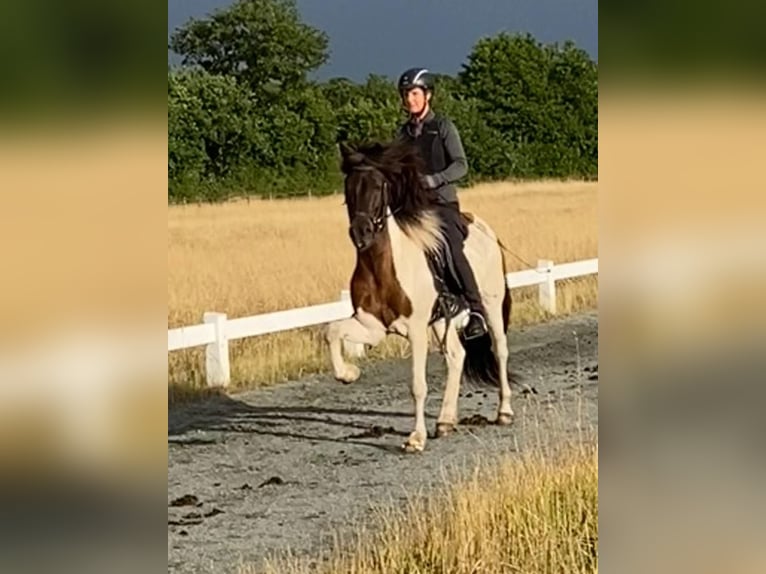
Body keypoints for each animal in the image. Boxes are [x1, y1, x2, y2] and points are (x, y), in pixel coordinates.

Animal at [324, 139, 514, 453]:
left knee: (499, 350)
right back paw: (446, 421)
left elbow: (417, 385)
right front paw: (349, 374)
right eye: (348, 186)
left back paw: (504, 412)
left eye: (379, 186)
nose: (361, 233)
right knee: (456, 356)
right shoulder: (372, 325)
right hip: (440, 320)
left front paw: (415, 438)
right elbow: (331, 331)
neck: (382, 266)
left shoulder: (415, 329)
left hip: (491, 305)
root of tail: (485, 229)